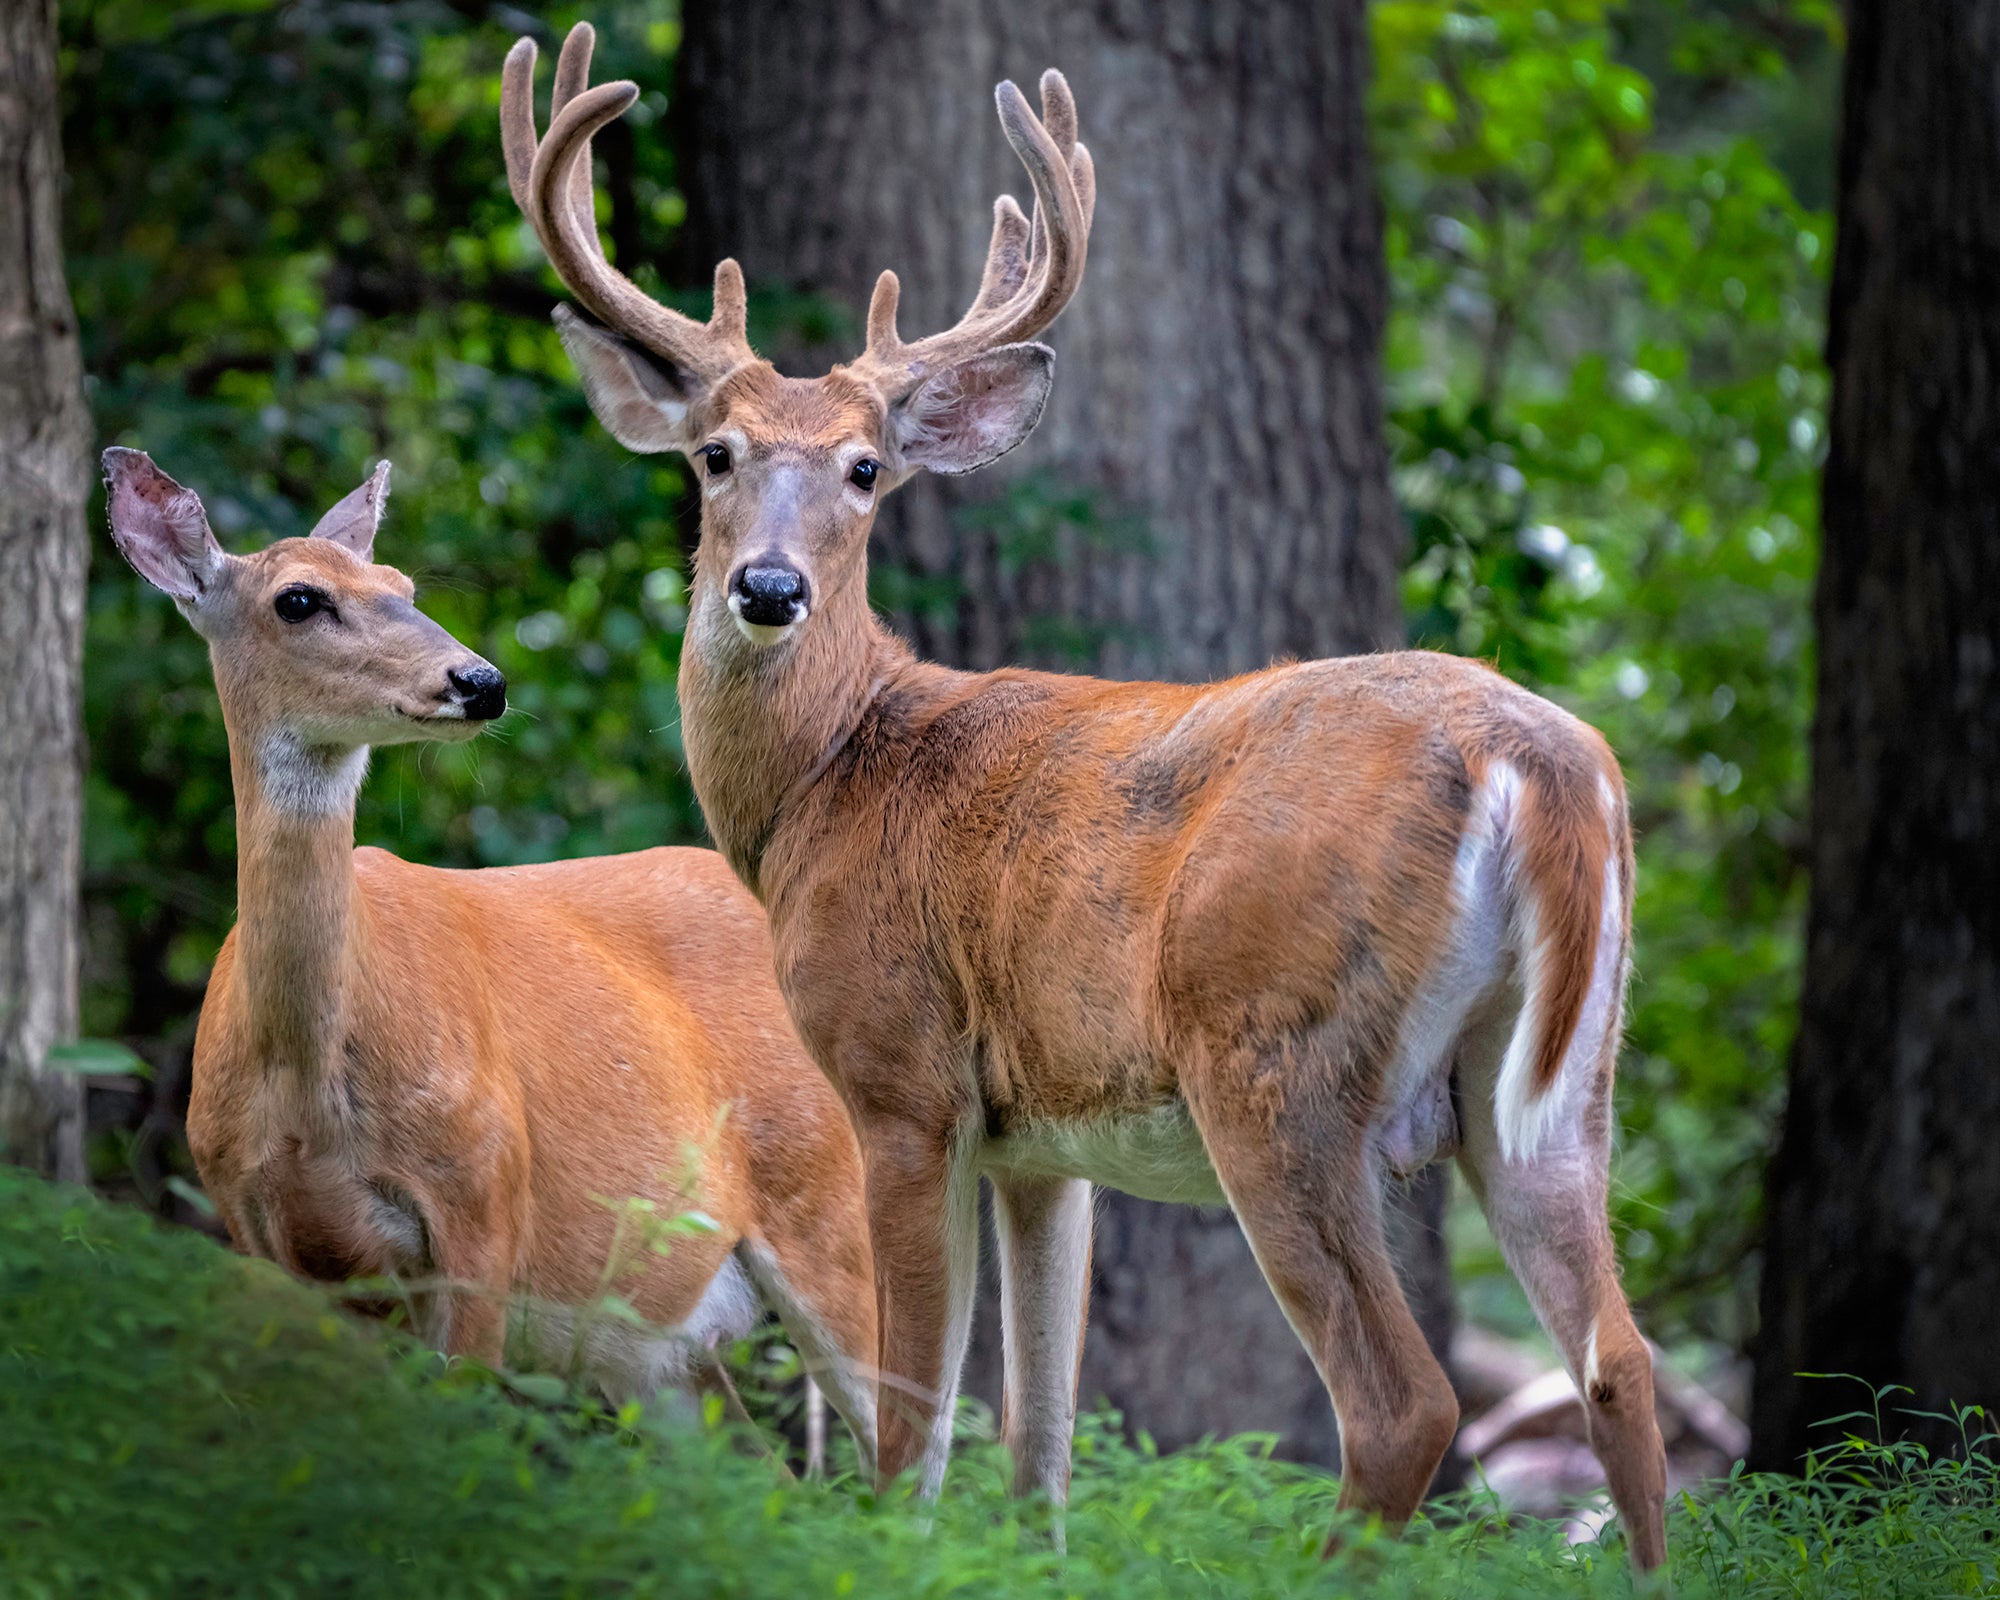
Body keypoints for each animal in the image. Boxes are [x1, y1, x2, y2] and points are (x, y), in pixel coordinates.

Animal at [101, 446, 878, 1475]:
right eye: (298, 599)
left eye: (403, 585)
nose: (481, 680)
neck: (308, 1090)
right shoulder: (256, 1227)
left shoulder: (484, 1201)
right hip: (656, 1346)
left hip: (833, 1200)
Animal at [501, 23, 1668, 1567]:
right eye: (714, 455)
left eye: (865, 469)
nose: (767, 588)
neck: (827, 780)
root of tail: (1538, 766)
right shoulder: (1043, 1145)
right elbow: (1038, 1447)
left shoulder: (901, 1074)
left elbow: (913, 1432)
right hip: (1550, 1085)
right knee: (1619, 1364)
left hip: (1274, 1058)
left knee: (1402, 1401)